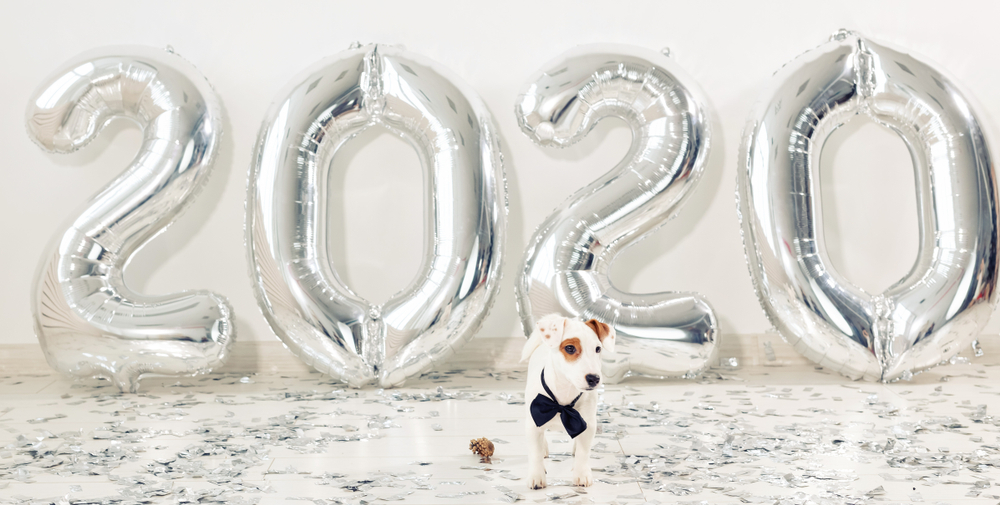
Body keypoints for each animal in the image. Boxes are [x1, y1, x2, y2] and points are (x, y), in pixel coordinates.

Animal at [520, 314, 612, 486]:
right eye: (570, 348)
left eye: (598, 349)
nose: (594, 378)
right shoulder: (534, 421)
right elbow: (535, 453)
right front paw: (536, 476)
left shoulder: (588, 423)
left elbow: (583, 452)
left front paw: (581, 473)